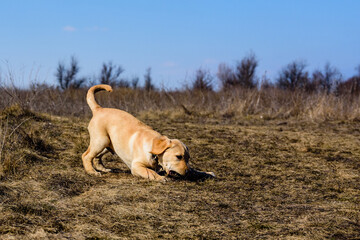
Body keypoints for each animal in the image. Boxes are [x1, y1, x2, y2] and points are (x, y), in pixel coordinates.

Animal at [83, 85, 215, 181]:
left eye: (188, 159)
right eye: (178, 157)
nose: (187, 172)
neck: (153, 150)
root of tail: (99, 108)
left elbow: (196, 170)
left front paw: (207, 172)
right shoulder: (136, 166)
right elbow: (150, 172)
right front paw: (160, 178)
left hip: (109, 144)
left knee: (96, 157)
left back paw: (104, 169)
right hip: (101, 141)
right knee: (86, 156)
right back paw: (92, 172)